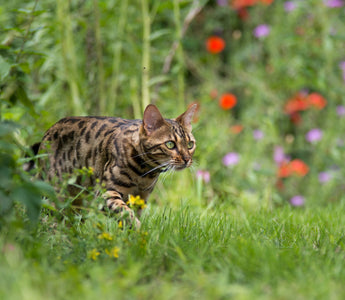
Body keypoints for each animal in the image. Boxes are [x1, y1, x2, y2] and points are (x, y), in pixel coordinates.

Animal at [34, 104, 196, 226]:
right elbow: (126, 214)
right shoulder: (105, 193)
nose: (187, 159)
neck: (145, 173)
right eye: (170, 144)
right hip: (55, 194)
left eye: (190, 144)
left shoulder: (140, 199)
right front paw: (140, 231)